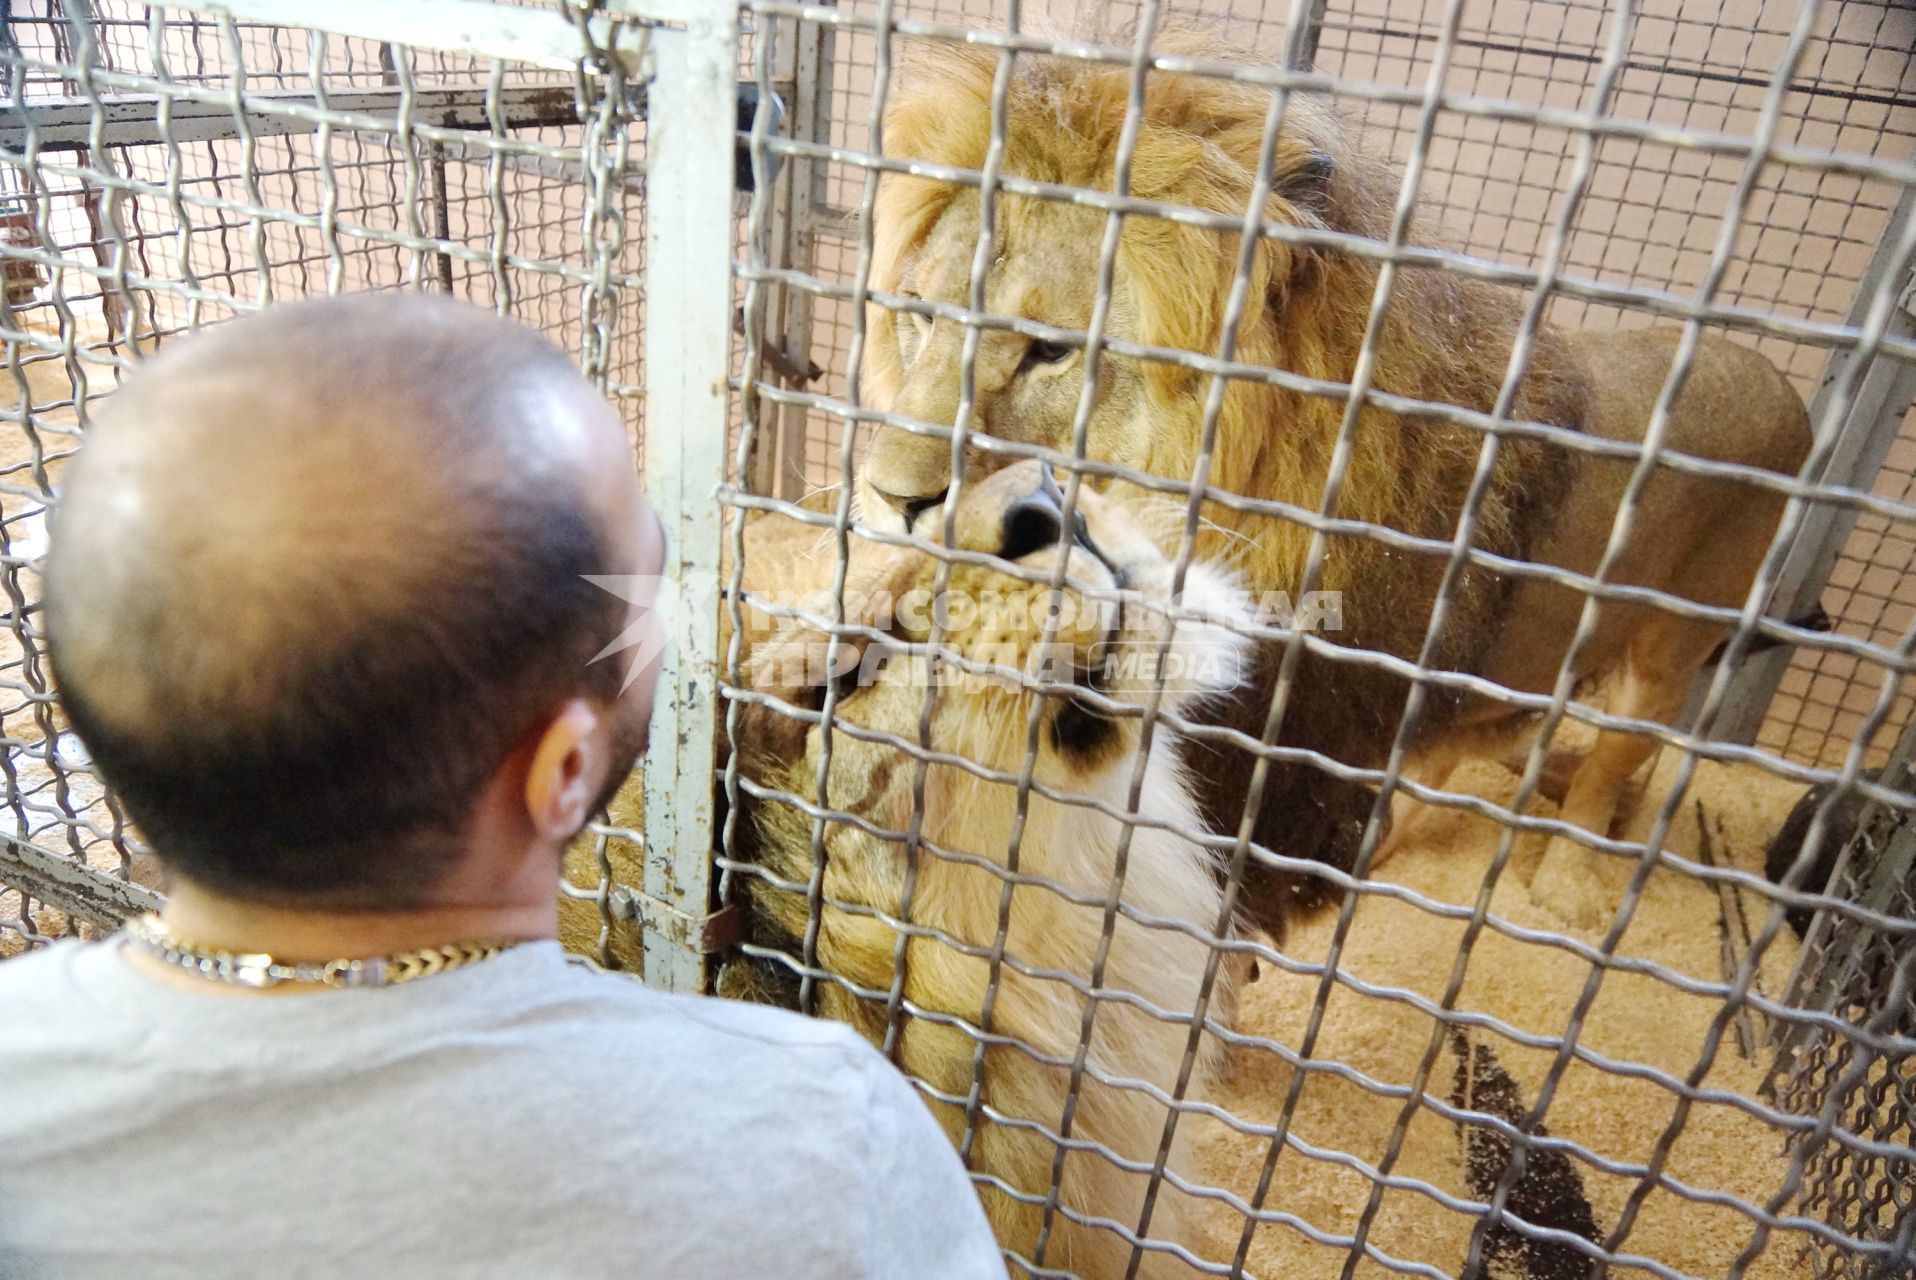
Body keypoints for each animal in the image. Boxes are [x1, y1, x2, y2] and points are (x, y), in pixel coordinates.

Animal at [862, 32, 1816, 931]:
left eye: (1053, 350)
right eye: (920, 316)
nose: (894, 498)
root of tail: (1785, 382)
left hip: (1670, 651)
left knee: (1620, 759)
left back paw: (1568, 881)